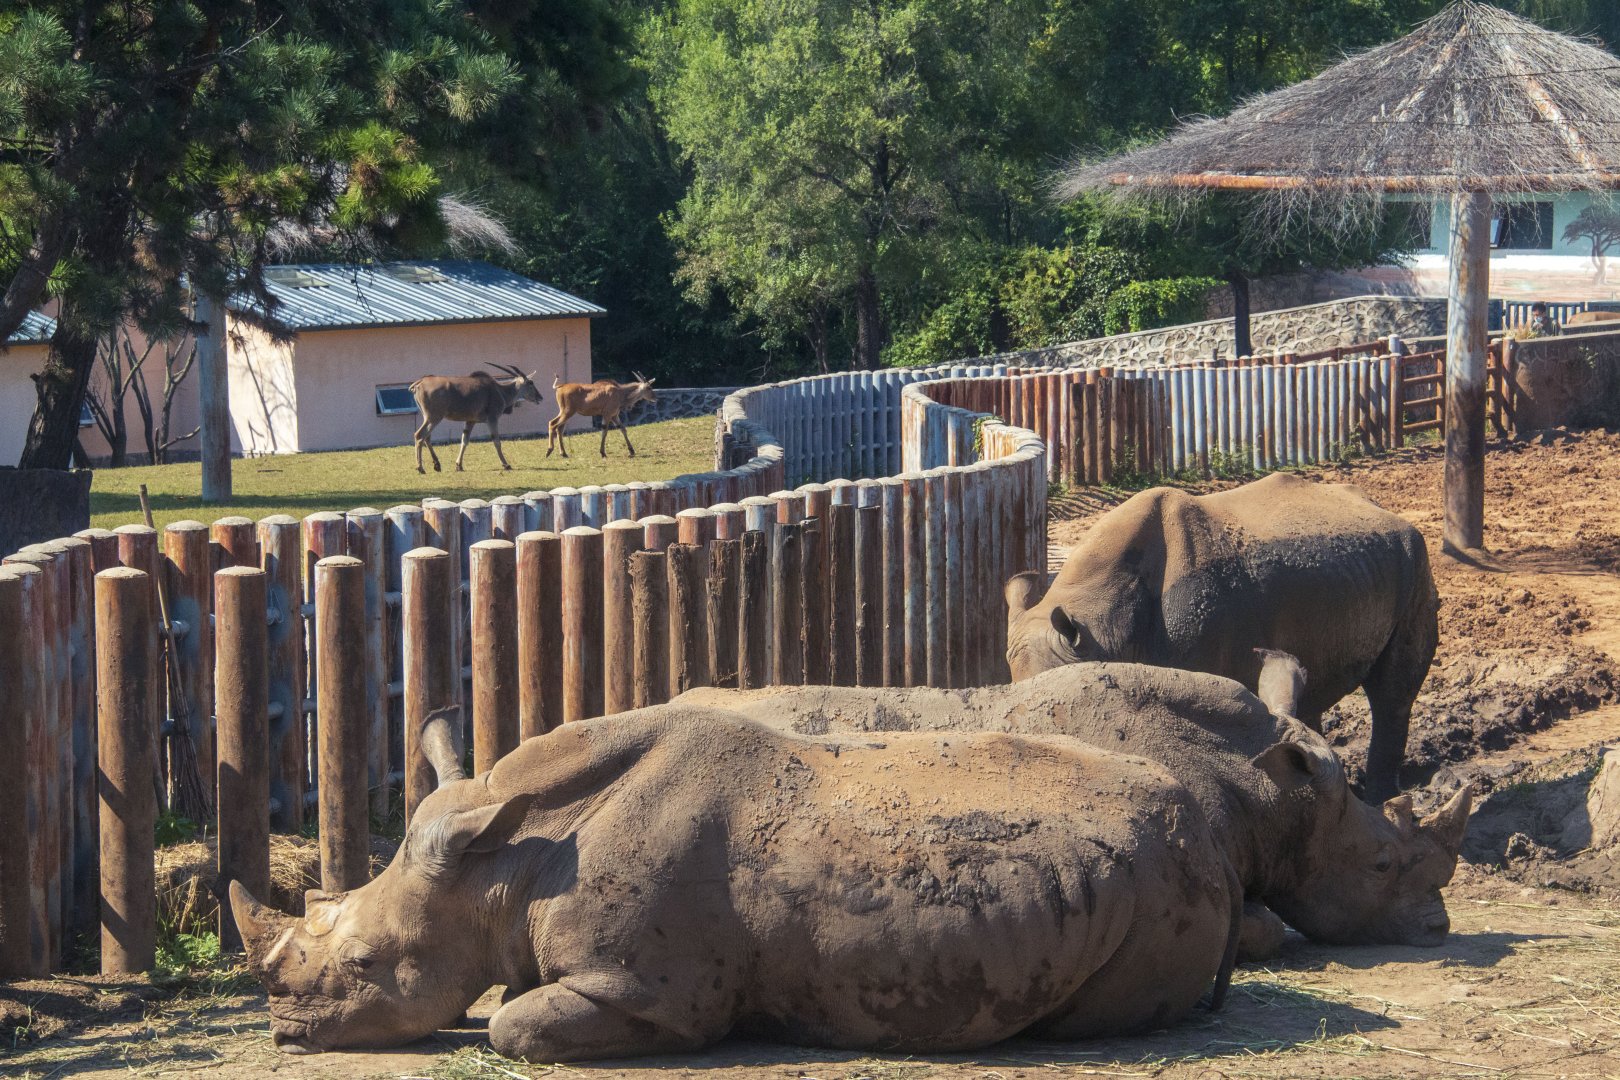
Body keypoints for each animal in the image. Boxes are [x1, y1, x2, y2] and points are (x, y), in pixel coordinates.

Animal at [232, 708, 1240, 1060]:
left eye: (366, 963)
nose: (285, 1032)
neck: (504, 865)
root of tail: (1212, 830)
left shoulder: (648, 991)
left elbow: (516, 1027)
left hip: (1162, 884)